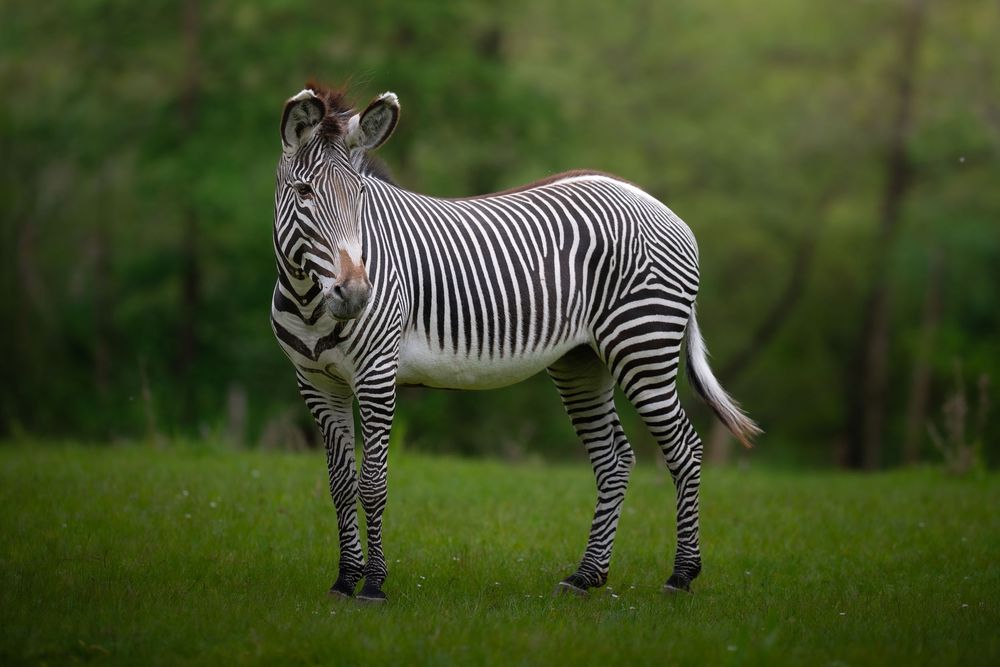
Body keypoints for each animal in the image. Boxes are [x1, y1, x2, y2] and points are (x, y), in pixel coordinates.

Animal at [271, 82, 761, 603]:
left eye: (360, 195)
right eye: (304, 192)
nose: (357, 295)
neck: (309, 300)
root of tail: (653, 202)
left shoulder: (376, 375)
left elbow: (372, 483)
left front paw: (374, 585)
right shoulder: (317, 384)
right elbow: (341, 486)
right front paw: (345, 580)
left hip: (642, 346)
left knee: (685, 450)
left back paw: (681, 574)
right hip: (582, 363)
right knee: (614, 459)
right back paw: (586, 575)